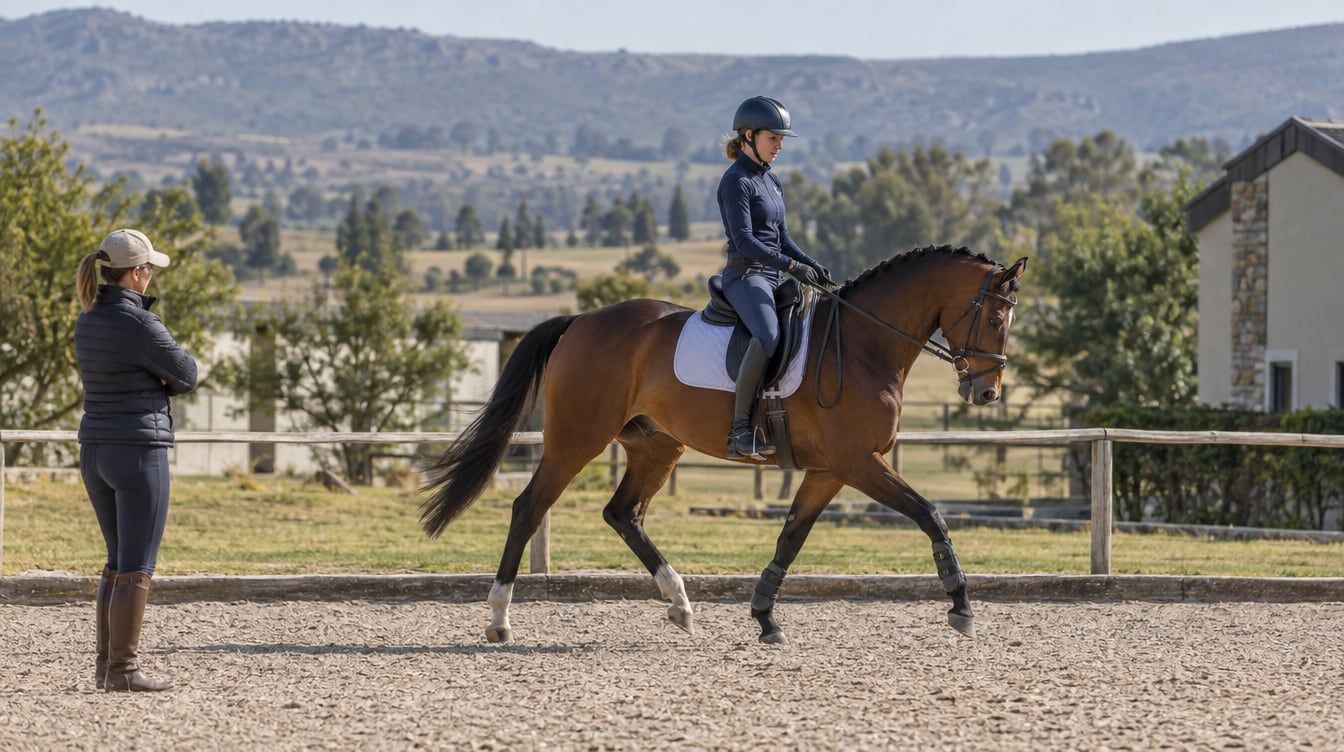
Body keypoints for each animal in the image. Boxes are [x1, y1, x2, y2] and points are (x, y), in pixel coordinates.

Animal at [420, 245, 1027, 644]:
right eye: (997, 316)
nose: (986, 391)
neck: (862, 344)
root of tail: (580, 321)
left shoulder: (829, 470)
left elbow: (791, 536)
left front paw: (764, 616)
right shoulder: (859, 463)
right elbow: (930, 514)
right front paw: (961, 605)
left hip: (657, 446)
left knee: (623, 514)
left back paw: (681, 604)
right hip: (578, 437)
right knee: (529, 507)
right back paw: (499, 619)